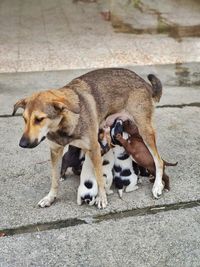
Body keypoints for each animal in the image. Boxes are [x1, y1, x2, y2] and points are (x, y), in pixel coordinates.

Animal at [12, 67, 164, 209]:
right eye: (24, 119)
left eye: (39, 119)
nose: (22, 144)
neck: (63, 125)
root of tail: (143, 81)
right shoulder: (55, 151)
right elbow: (54, 179)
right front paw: (50, 197)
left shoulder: (95, 148)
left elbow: (99, 178)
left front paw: (102, 198)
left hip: (145, 132)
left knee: (159, 161)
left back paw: (157, 186)